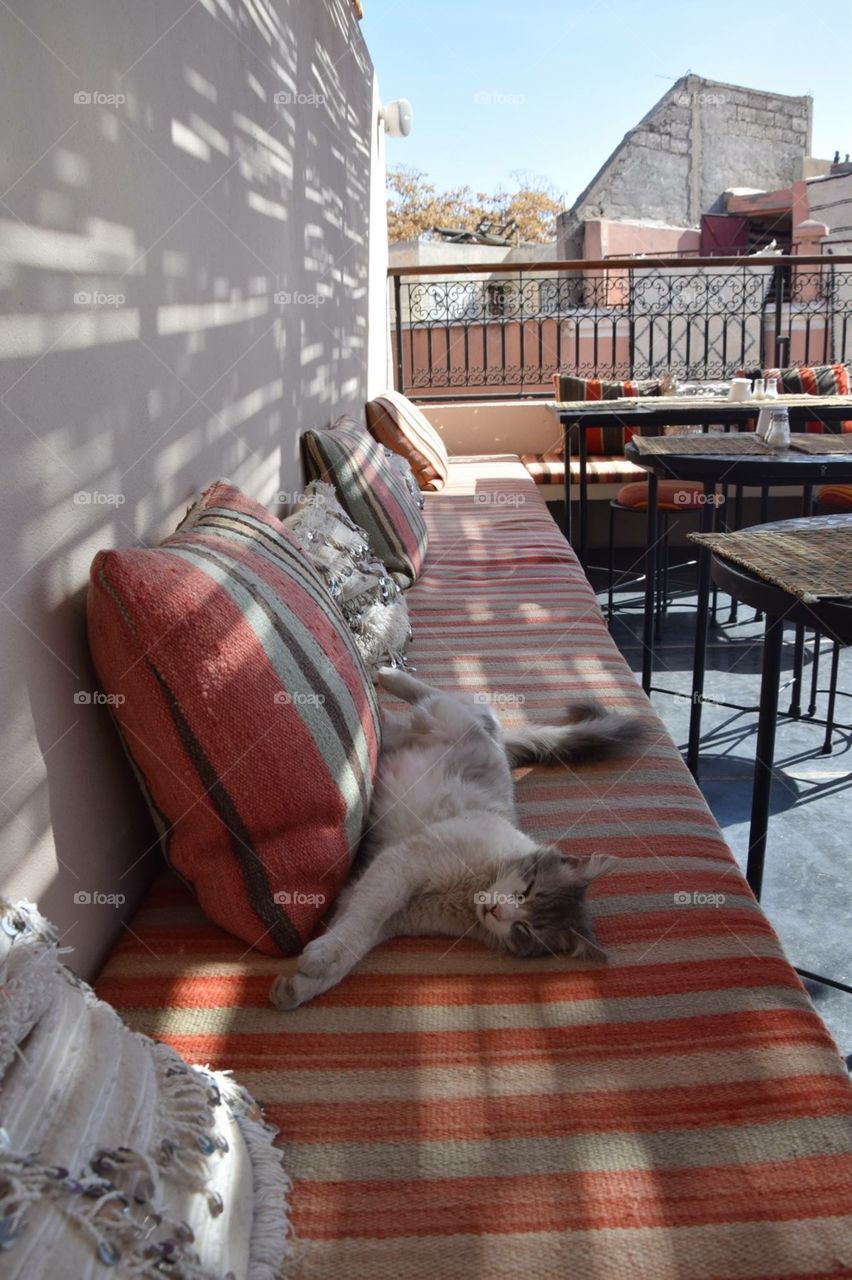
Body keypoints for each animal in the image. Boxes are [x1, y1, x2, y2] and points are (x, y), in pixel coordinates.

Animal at [272, 670, 644, 1008]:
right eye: (526, 890)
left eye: (524, 930)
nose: (497, 910)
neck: (469, 891)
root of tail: (500, 743)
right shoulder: (404, 864)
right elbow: (360, 920)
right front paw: (318, 959)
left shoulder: (390, 912)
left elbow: (353, 940)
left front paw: (298, 986)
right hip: (450, 714)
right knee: (438, 695)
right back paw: (386, 674)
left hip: (415, 729)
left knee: (405, 715)